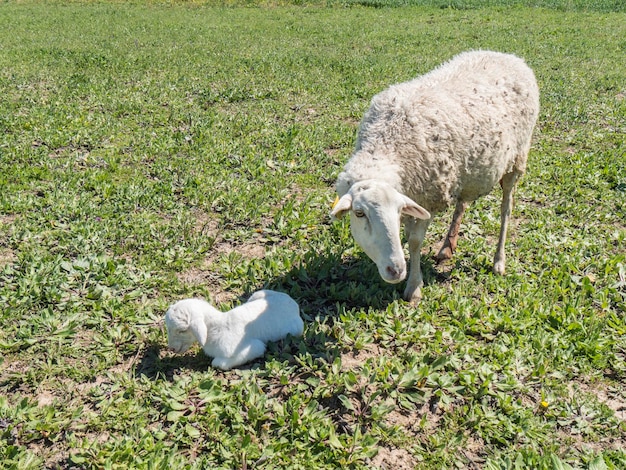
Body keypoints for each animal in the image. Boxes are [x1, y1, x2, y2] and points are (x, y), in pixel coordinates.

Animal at [165, 290, 304, 370]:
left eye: (182, 330)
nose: (171, 348)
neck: (217, 327)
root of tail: (293, 304)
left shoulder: (255, 347)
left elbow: (217, 363)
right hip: (259, 293)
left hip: (297, 330)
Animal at [330, 49, 540, 302]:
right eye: (359, 213)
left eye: (397, 211)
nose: (395, 270)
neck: (386, 146)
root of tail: (509, 56)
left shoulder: (427, 197)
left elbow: (414, 241)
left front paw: (414, 287)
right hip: (467, 171)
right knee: (462, 203)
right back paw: (447, 247)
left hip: (517, 159)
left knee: (505, 209)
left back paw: (498, 261)